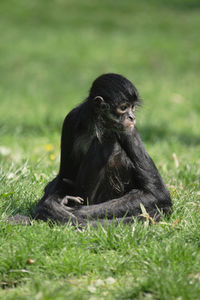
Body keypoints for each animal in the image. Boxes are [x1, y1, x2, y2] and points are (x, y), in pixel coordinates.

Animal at [31, 72, 172, 225]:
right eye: (124, 107)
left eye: (133, 107)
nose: (132, 117)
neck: (98, 125)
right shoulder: (70, 119)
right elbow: (64, 177)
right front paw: (49, 206)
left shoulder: (129, 130)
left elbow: (158, 194)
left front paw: (73, 213)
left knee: (109, 143)